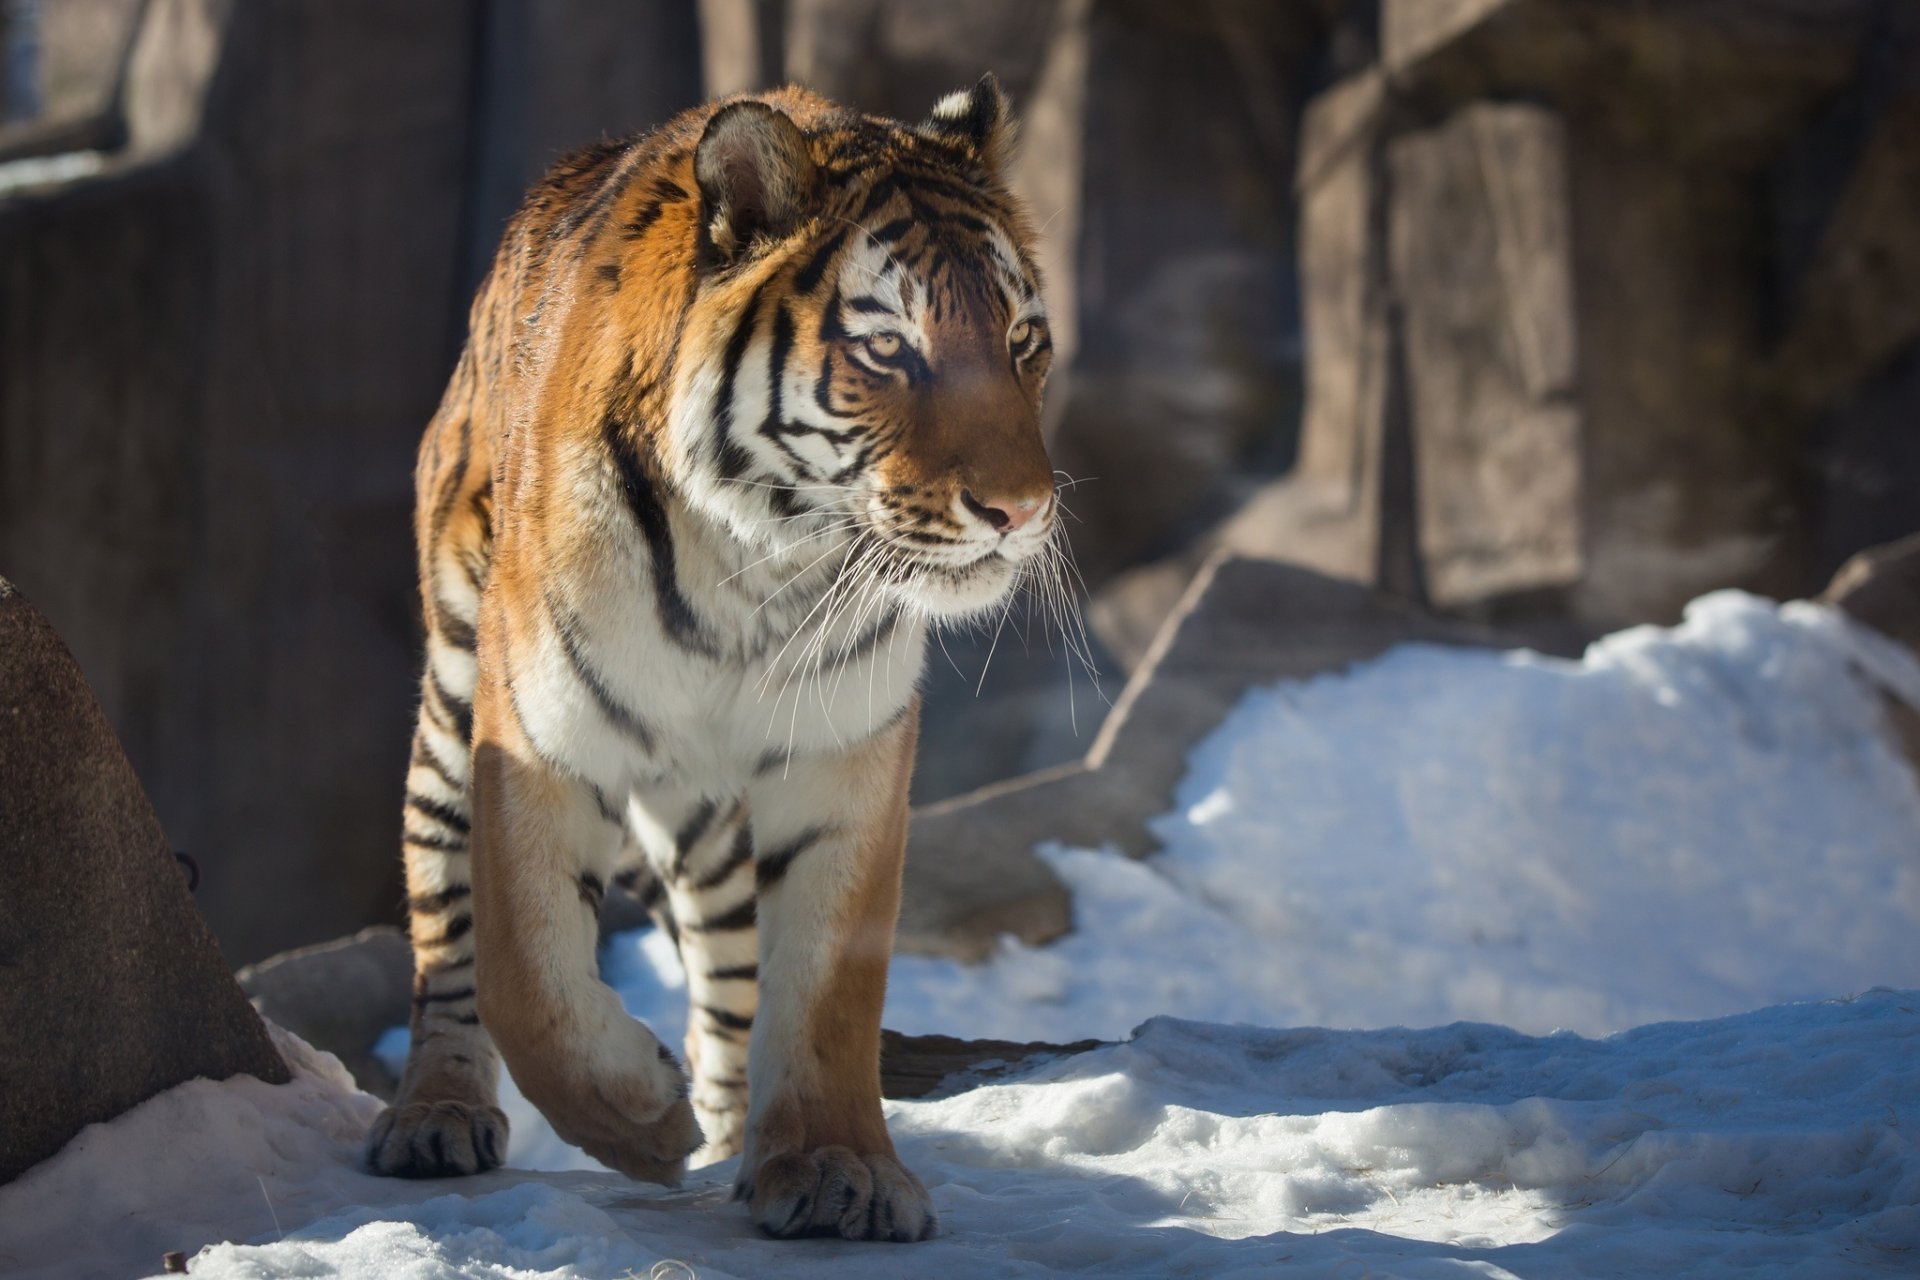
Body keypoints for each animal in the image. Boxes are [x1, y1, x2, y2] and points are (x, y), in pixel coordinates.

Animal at [361, 75, 1059, 1243]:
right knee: (447, 937)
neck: (760, 572)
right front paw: (642, 1119)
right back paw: (437, 1115)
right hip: (453, 698)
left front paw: (832, 1165)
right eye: (889, 351)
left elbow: (826, 990)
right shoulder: (536, 739)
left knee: (730, 969)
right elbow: (526, 973)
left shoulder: (844, 758)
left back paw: (736, 1128)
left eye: (1023, 341)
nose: (1020, 509)